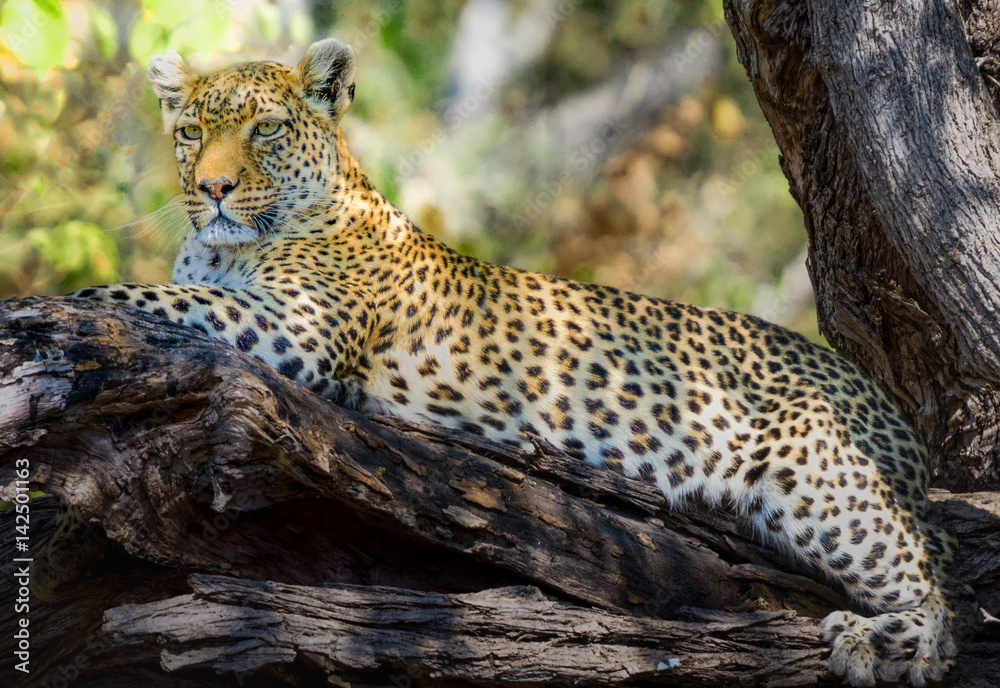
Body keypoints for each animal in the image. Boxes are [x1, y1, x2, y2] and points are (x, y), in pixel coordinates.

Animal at [38, 38, 957, 686]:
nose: (215, 189)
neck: (222, 249)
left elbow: (138, 296)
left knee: (937, 590)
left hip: (811, 470)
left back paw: (886, 642)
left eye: (264, 128)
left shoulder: (293, 327)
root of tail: (892, 413)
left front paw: (45, 312)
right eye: (192, 132)